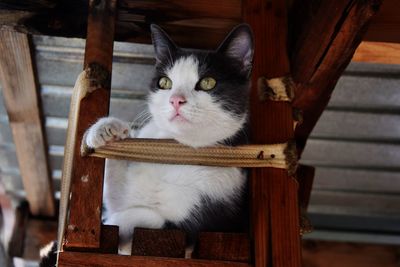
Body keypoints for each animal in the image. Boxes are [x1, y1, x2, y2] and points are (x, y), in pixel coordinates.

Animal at [39, 22, 253, 262]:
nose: (176, 100)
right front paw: (106, 129)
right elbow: (118, 197)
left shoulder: (206, 222)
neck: (175, 151)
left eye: (208, 82)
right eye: (165, 82)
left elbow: (152, 219)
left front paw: (111, 222)